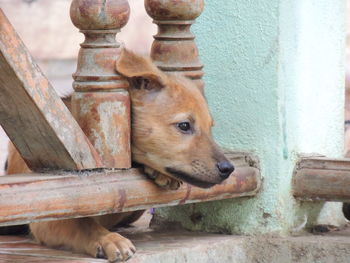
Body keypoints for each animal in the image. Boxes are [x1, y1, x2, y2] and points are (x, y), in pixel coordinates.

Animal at [4, 49, 234, 262]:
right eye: (184, 126)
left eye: (210, 127)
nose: (228, 169)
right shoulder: (50, 214)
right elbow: (83, 223)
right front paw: (107, 239)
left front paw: (160, 174)